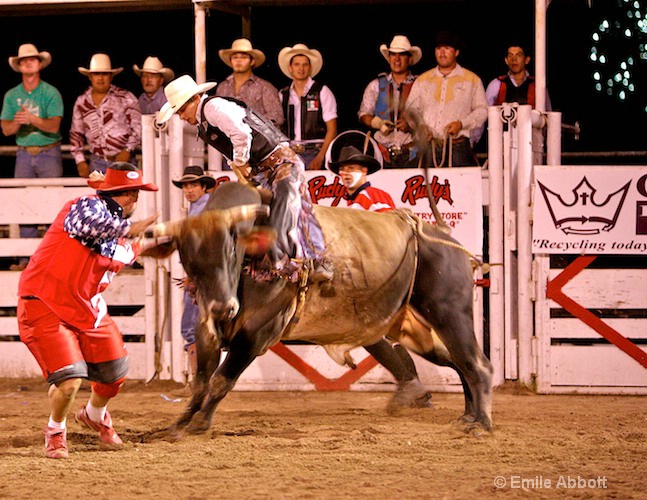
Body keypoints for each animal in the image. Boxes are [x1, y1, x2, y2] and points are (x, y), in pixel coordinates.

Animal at [144, 182, 494, 436]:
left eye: (231, 249)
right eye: (187, 258)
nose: (224, 307)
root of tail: (450, 241)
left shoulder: (257, 333)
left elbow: (220, 379)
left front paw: (201, 422)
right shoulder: (207, 327)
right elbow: (202, 380)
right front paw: (178, 423)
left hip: (451, 313)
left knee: (478, 364)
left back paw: (481, 423)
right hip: (415, 330)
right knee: (458, 362)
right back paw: (466, 416)